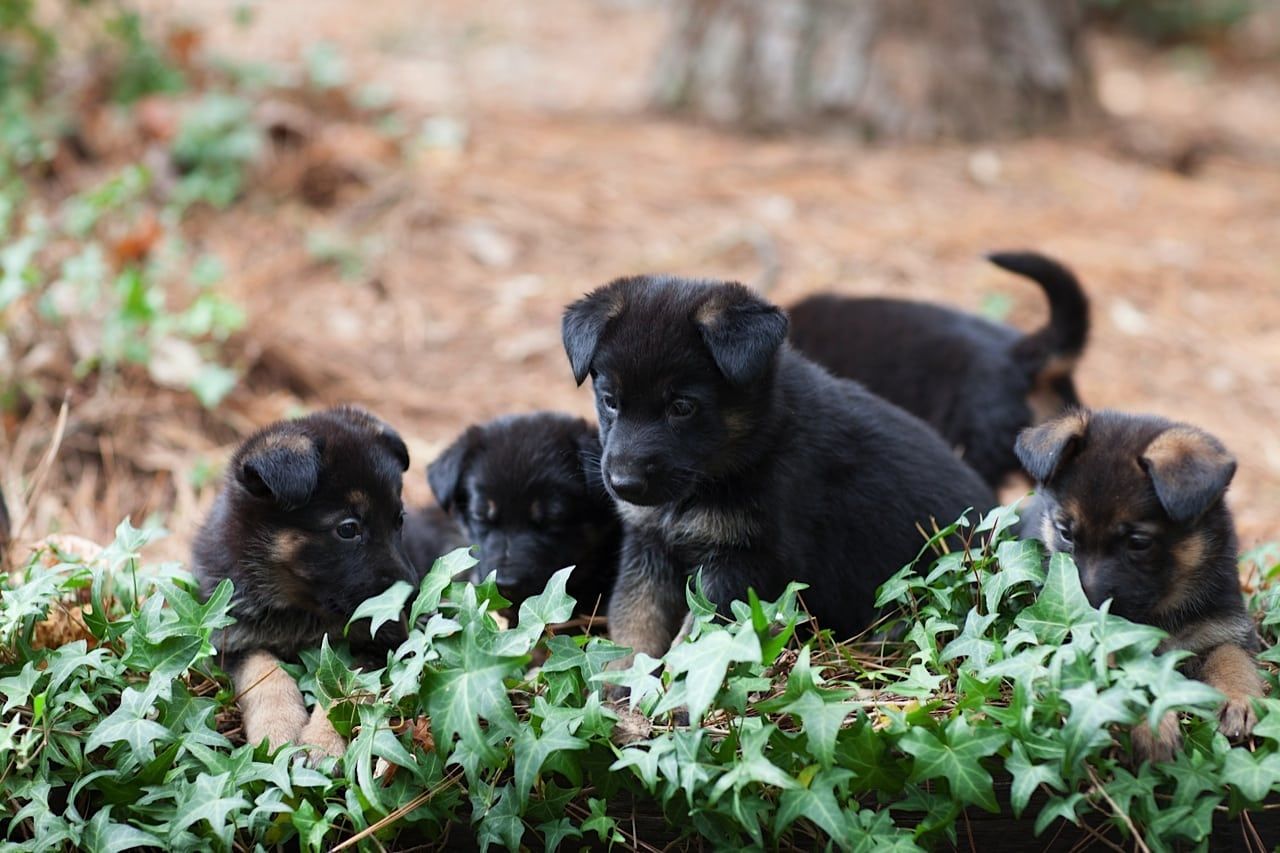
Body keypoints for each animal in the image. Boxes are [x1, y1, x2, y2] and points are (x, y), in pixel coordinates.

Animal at [193, 404, 419, 758]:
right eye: (348, 528)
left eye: (399, 520)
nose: (411, 599)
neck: (297, 609)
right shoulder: (230, 641)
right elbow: (264, 670)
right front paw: (278, 729)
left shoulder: (382, 645)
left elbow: (348, 682)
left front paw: (323, 741)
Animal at [558, 275, 988, 666]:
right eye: (610, 401)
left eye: (681, 407)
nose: (624, 484)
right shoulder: (649, 546)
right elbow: (635, 620)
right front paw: (624, 678)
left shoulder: (744, 561)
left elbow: (699, 634)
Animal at [1013, 404, 1264, 758]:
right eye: (1065, 533)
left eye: (1138, 542)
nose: (1083, 612)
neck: (1158, 616)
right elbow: (1121, 674)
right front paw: (1152, 726)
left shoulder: (1224, 628)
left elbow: (1233, 658)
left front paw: (1238, 699)